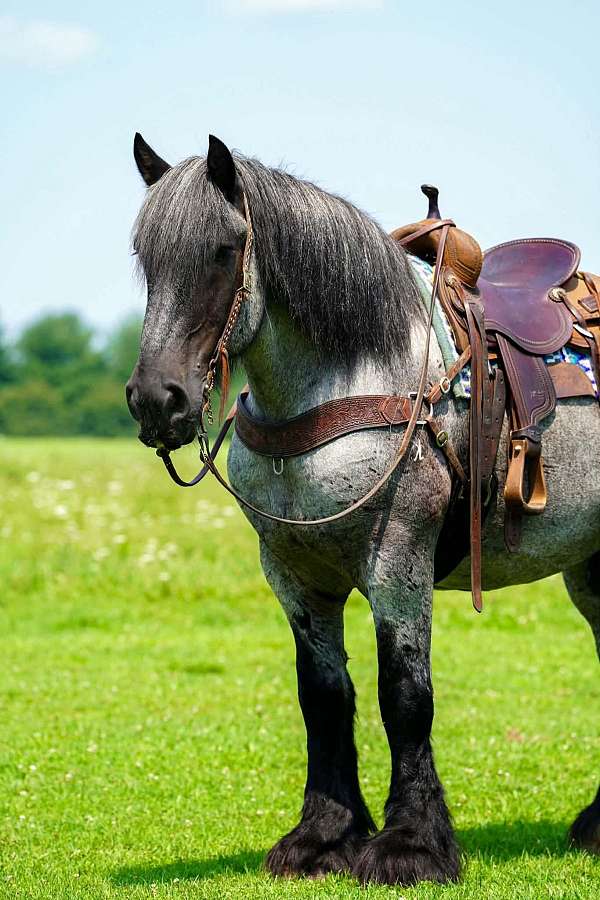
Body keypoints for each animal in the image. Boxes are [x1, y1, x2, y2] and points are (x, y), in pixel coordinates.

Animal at [125, 132, 600, 886]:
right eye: (145, 256)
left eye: (224, 250)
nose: (156, 400)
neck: (353, 380)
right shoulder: (294, 574)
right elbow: (324, 697)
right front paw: (323, 837)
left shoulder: (397, 562)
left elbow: (404, 696)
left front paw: (412, 845)